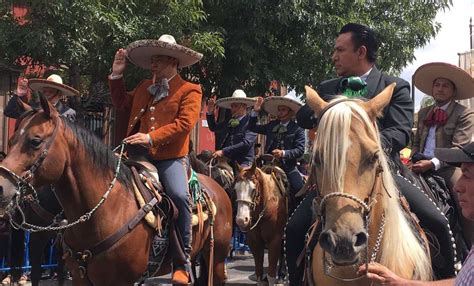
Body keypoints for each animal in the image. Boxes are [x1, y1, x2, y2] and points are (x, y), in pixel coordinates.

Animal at [0, 96, 231, 286]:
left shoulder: (120, 281)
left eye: (35, 141)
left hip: (217, 258)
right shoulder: (81, 277)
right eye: (11, 141)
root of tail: (217, 187)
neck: (105, 211)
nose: (3, 187)